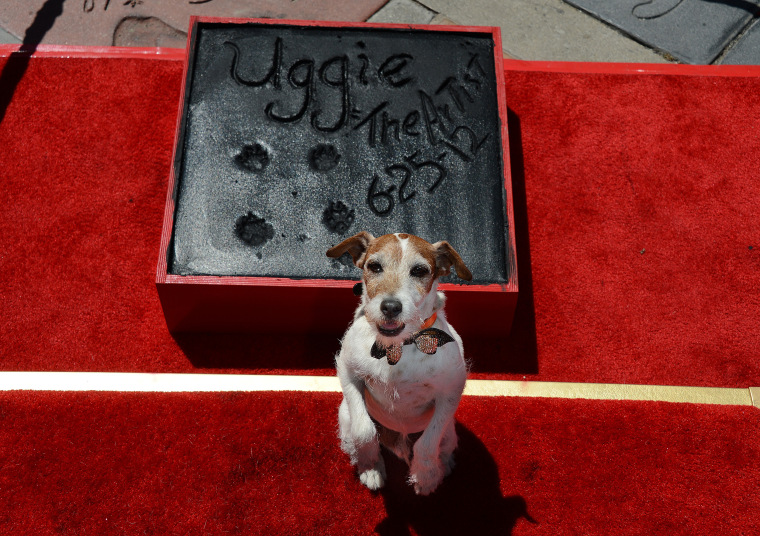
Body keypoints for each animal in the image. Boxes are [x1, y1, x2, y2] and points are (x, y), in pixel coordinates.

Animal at [328, 230, 472, 494]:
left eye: (420, 270)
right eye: (374, 266)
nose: (391, 307)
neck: (398, 347)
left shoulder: (450, 392)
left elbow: (427, 443)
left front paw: (425, 476)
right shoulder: (348, 372)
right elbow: (364, 431)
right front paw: (371, 465)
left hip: (450, 430)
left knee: (442, 442)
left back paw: (443, 464)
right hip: (344, 415)